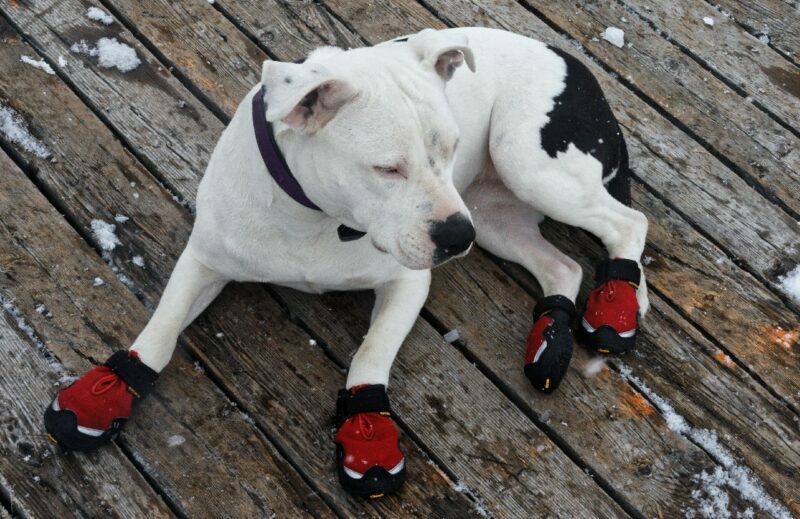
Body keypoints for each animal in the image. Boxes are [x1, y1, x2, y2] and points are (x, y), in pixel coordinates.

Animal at [43, 27, 648, 500]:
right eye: (387, 168)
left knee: (628, 223)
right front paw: (107, 389)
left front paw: (366, 429)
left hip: (524, 169)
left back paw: (617, 309)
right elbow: (162, 328)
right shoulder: (205, 259)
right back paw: (551, 345)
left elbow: (371, 354)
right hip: (496, 216)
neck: (315, 216)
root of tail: (568, 57)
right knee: (564, 267)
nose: (457, 236)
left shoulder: (407, 284)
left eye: (450, 147)